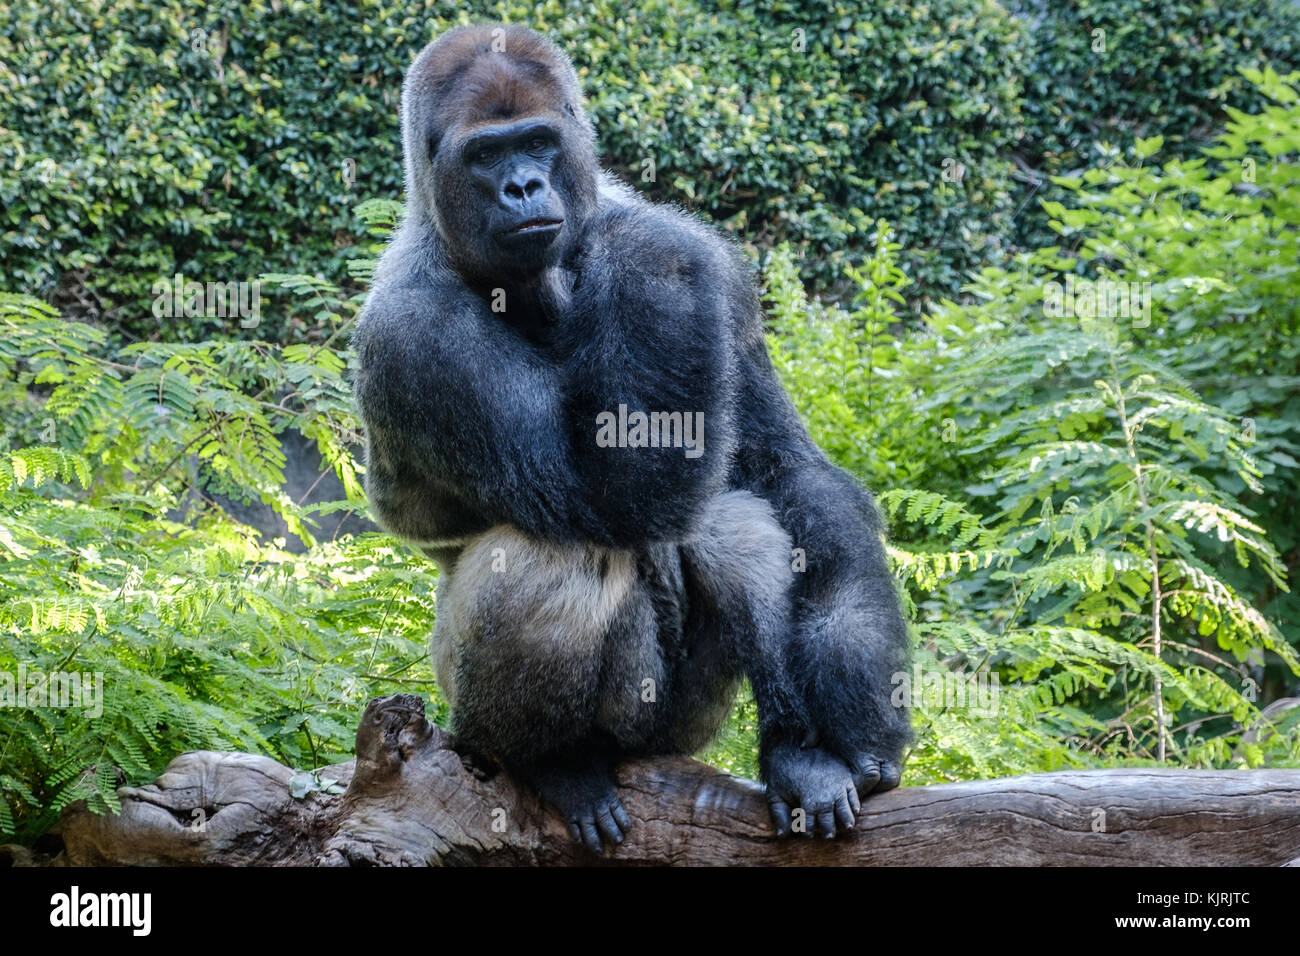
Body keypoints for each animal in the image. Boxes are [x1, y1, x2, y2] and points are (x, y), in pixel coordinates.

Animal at [351, 26, 909, 858]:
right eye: (486, 155)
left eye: (538, 143)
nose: (523, 187)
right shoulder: (413, 333)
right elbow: (603, 494)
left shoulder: (715, 273)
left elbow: (788, 475)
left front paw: (860, 716)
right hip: (479, 710)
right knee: (567, 551)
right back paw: (553, 763)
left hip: (676, 727)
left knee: (734, 525)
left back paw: (795, 753)